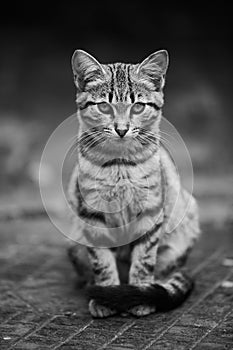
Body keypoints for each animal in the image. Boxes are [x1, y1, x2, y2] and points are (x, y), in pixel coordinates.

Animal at [67, 48, 200, 318]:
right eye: (104, 107)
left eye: (137, 107)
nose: (121, 129)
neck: (119, 164)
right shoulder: (92, 215)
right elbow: (102, 262)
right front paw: (106, 295)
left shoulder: (150, 212)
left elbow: (143, 259)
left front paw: (139, 294)